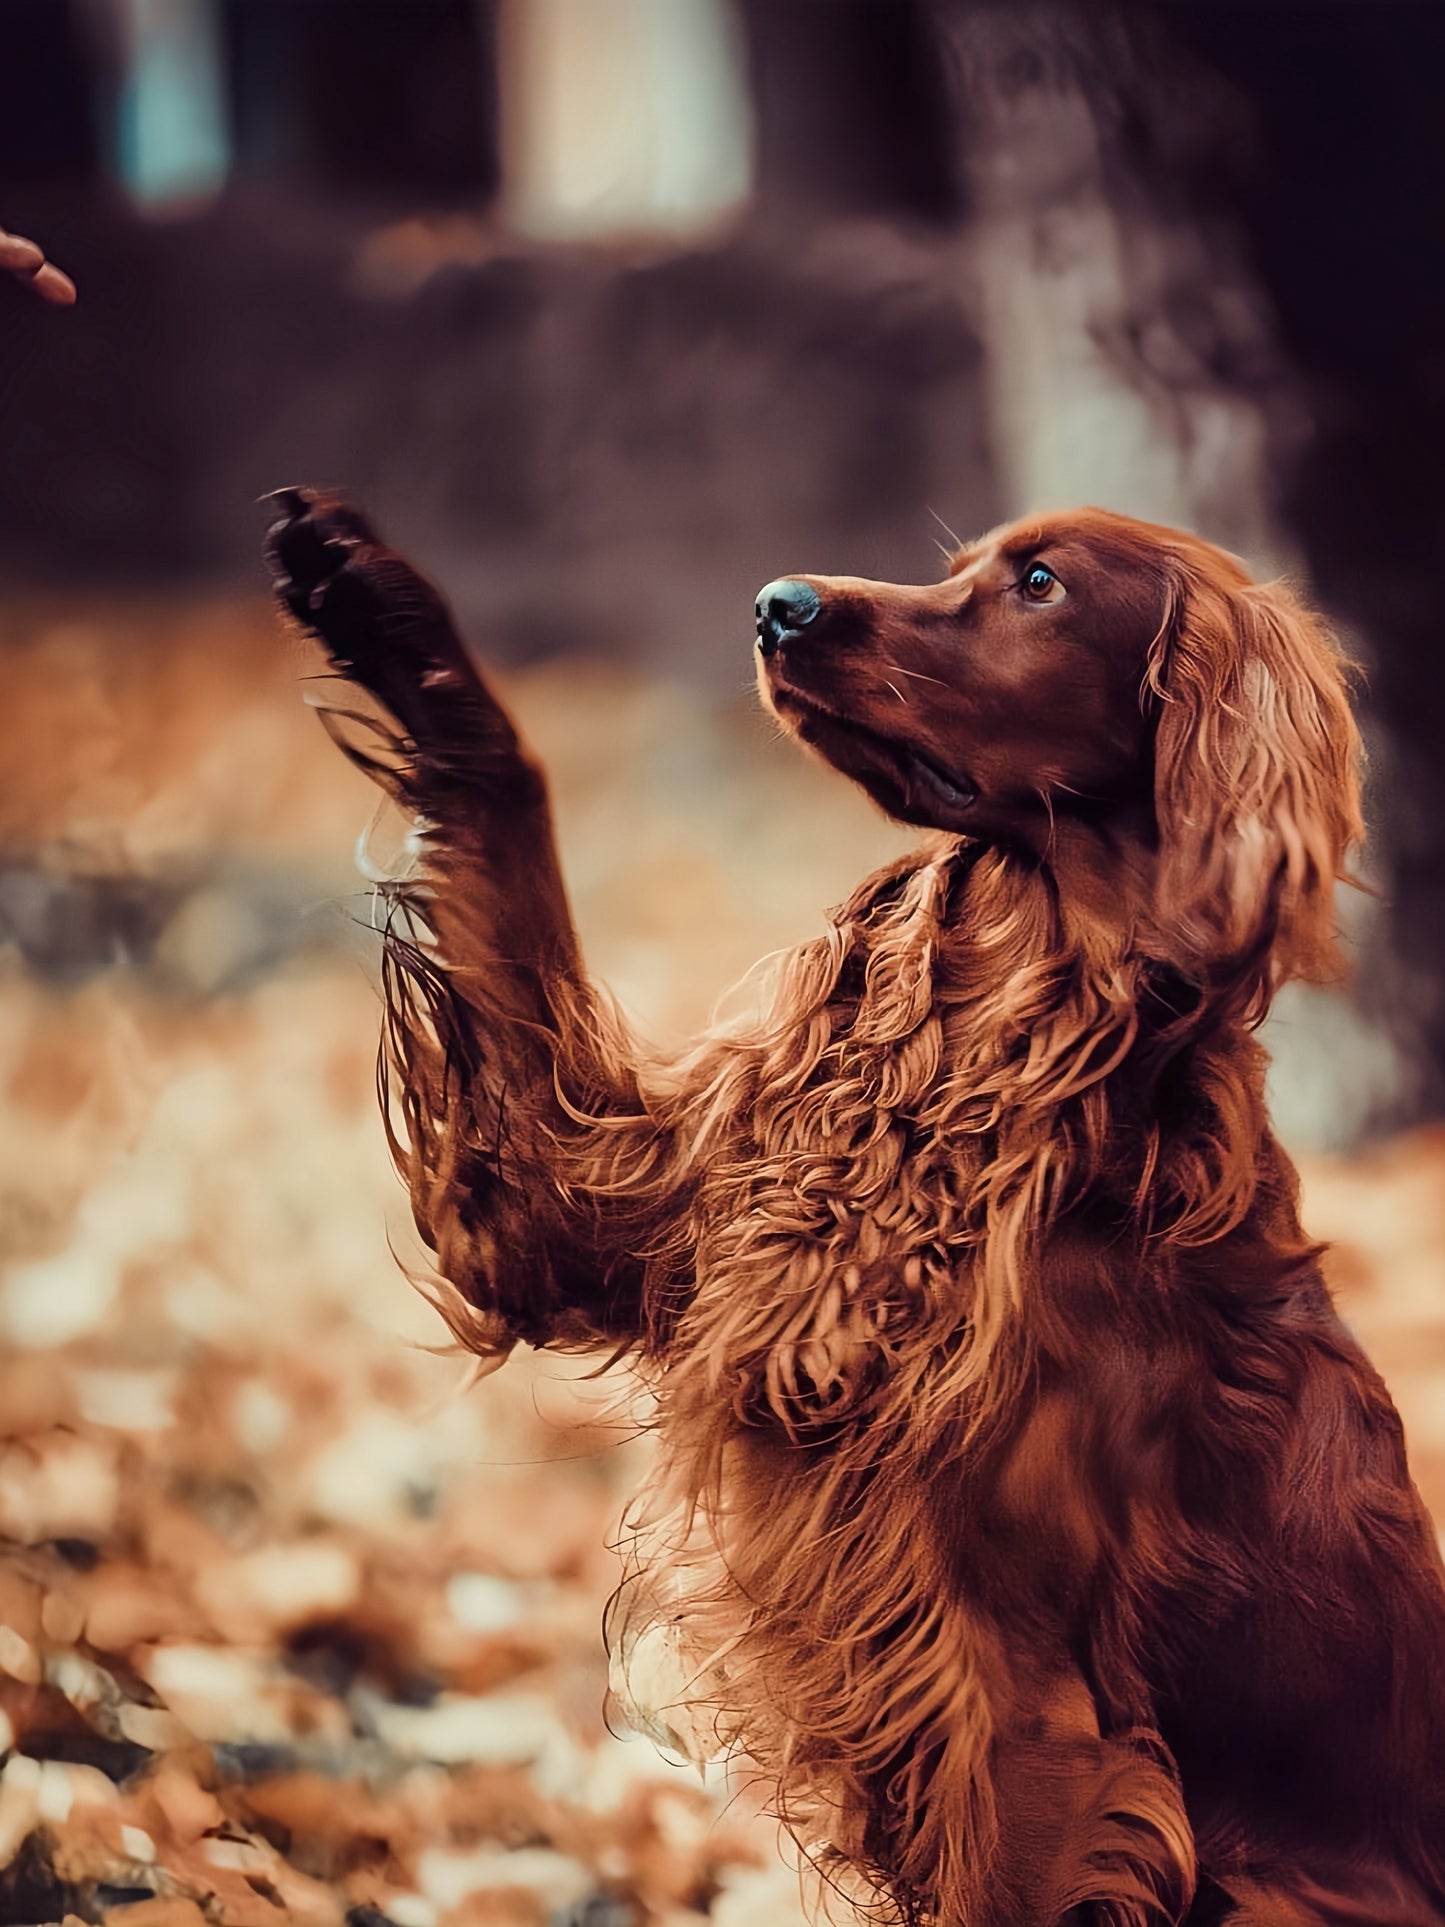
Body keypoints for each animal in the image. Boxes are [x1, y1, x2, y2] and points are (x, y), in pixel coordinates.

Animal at [269, 497, 1445, 1927]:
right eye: (962, 564)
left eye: (1039, 584)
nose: (776, 603)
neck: (1007, 1059)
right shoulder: (625, 1206)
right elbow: (514, 842)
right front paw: (381, 603)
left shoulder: (1032, 1725)